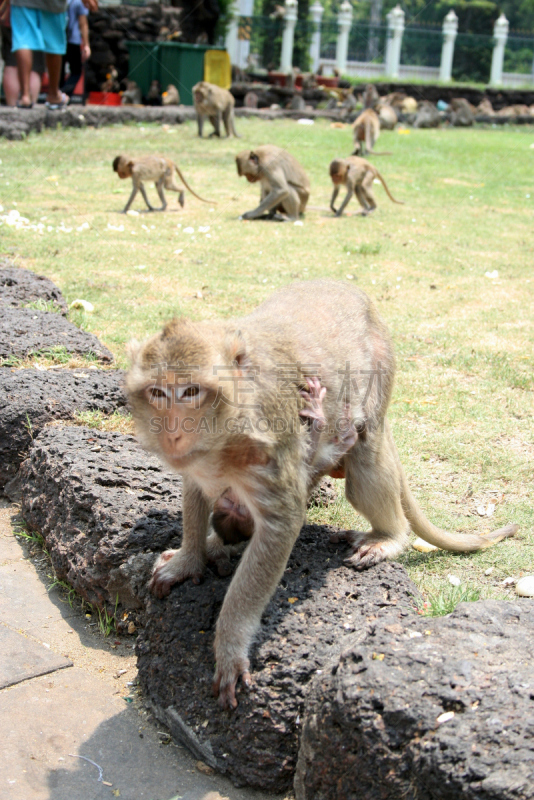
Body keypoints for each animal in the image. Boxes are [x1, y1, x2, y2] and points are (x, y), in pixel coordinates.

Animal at [126, 278, 520, 708]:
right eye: (158, 393)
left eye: (191, 392)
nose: (172, 432)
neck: (223, 435)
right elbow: (197, 490)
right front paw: (190, 557)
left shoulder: (270, 439)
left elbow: (282, 524)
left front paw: (230, 643)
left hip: (381, 369)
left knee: (364, 458)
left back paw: (390, 536)